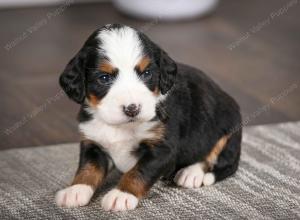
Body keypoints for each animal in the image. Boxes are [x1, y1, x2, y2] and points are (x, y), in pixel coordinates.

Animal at [55, 23, 241, 211]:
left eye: (146, 73)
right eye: (104, 78)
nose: (132, 109)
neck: (121, 126)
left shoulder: (162, 149)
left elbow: (139, 172)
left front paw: (121, 195)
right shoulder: (92, 141)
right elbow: (88, 168)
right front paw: (76, 190)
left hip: (228, 130)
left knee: (218, 160)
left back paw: (191, 173)